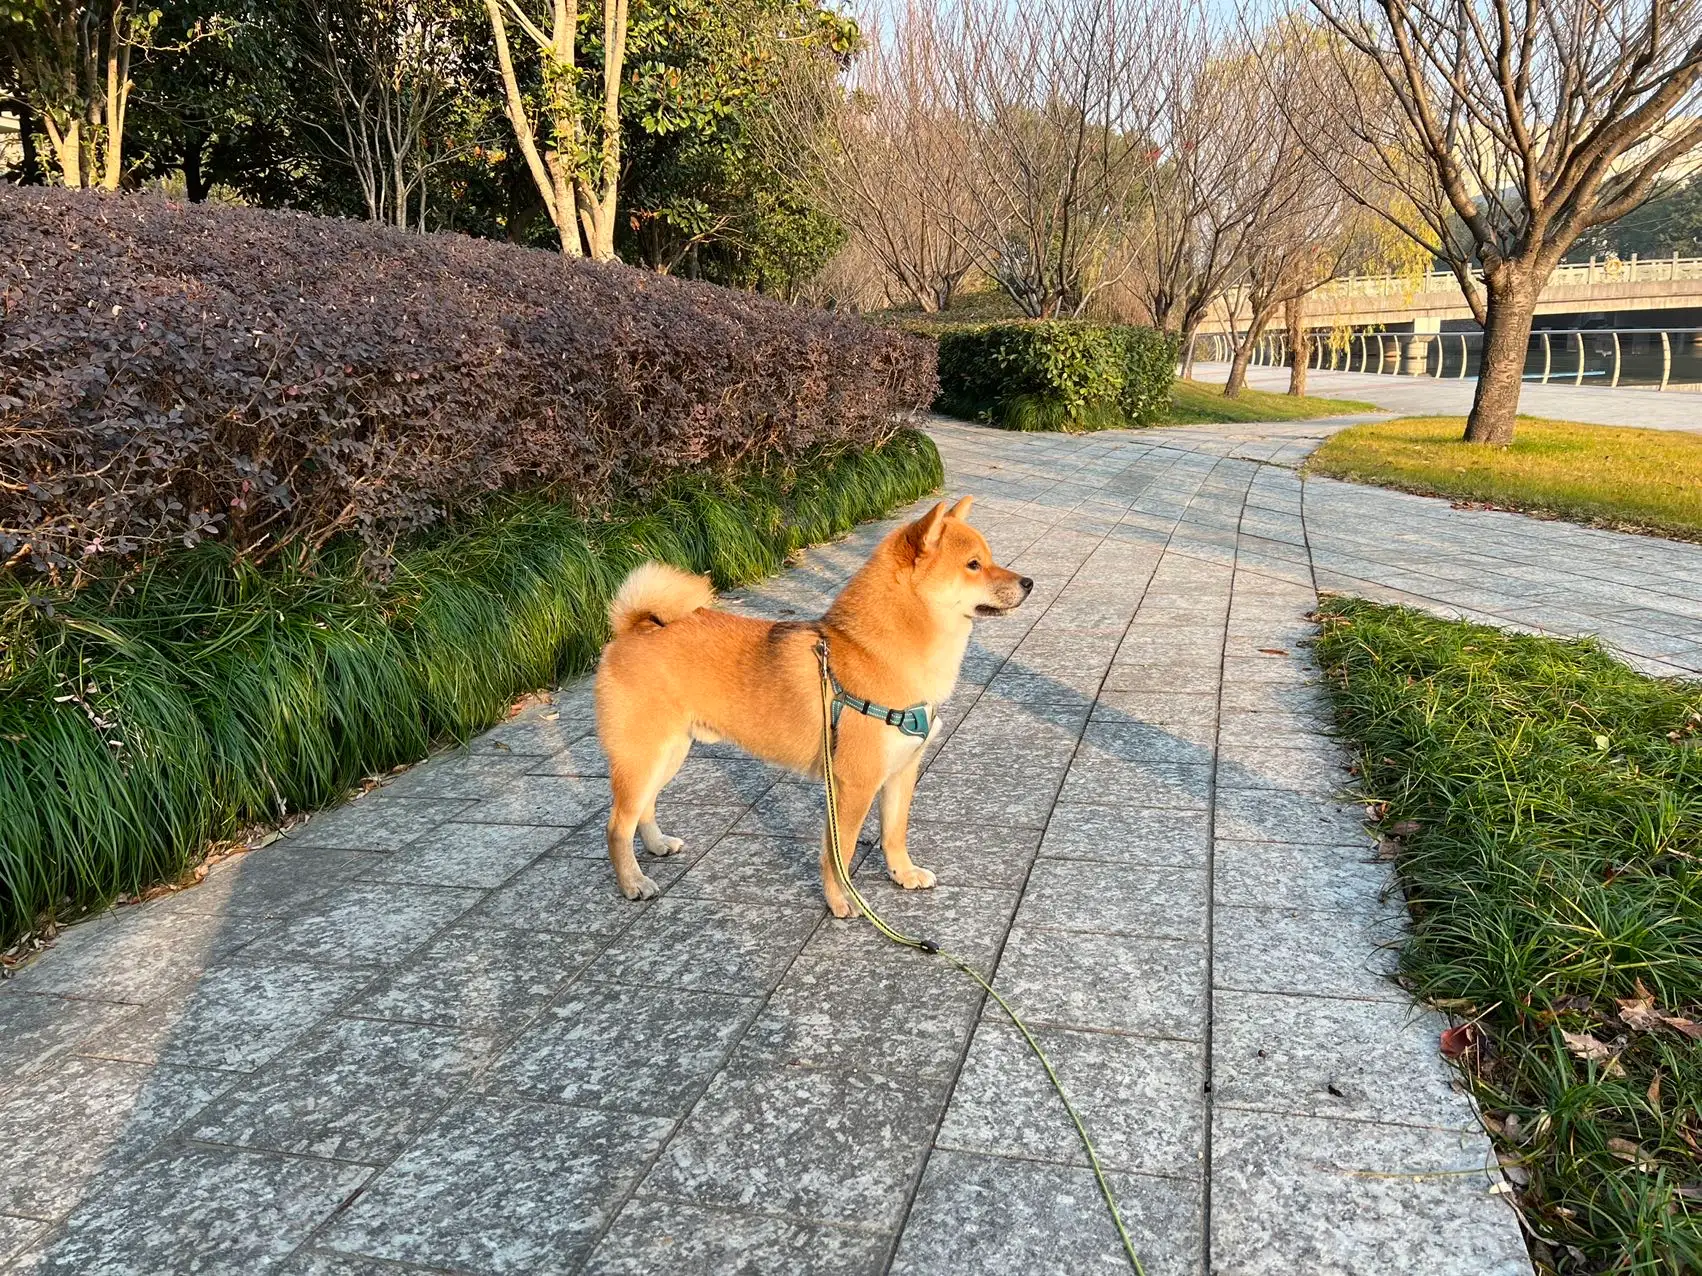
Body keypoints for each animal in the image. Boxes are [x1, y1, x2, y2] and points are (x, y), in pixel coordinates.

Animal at [592, 500, 1028, 918]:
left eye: (990, 558)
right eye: (974, 564)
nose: (1029, 582)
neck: (880, 652)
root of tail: (634, 628)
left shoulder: (901, 771)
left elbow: (894, 832)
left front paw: (902, 873)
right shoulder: (854, 785)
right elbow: (840, 854)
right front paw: (841, 900)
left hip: (668, 755)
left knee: (644, 808)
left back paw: (656, 845)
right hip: (643, 757)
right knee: (617, 825)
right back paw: (632, 882)